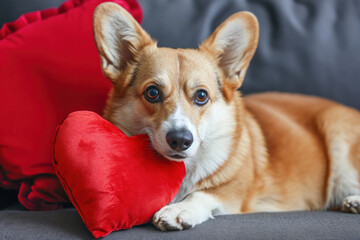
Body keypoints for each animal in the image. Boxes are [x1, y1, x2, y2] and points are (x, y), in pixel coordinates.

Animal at [93, 2, 360, 231]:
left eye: (201, 95)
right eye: (152, 92)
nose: (180, 140)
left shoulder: (235, 192)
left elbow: (204, 193)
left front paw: (179, 210)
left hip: (339, 139)